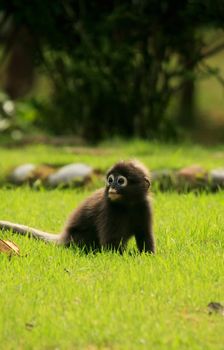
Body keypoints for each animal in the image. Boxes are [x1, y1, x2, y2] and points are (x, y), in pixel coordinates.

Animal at [0, 160, 155, 253]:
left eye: (121, 181)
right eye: (110, 180)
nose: (112, 187)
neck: (128, 204)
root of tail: (64, 237)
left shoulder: (144, 206)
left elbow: (144, 234)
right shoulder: (108, 209)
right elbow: (110, 245)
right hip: (77, 238)